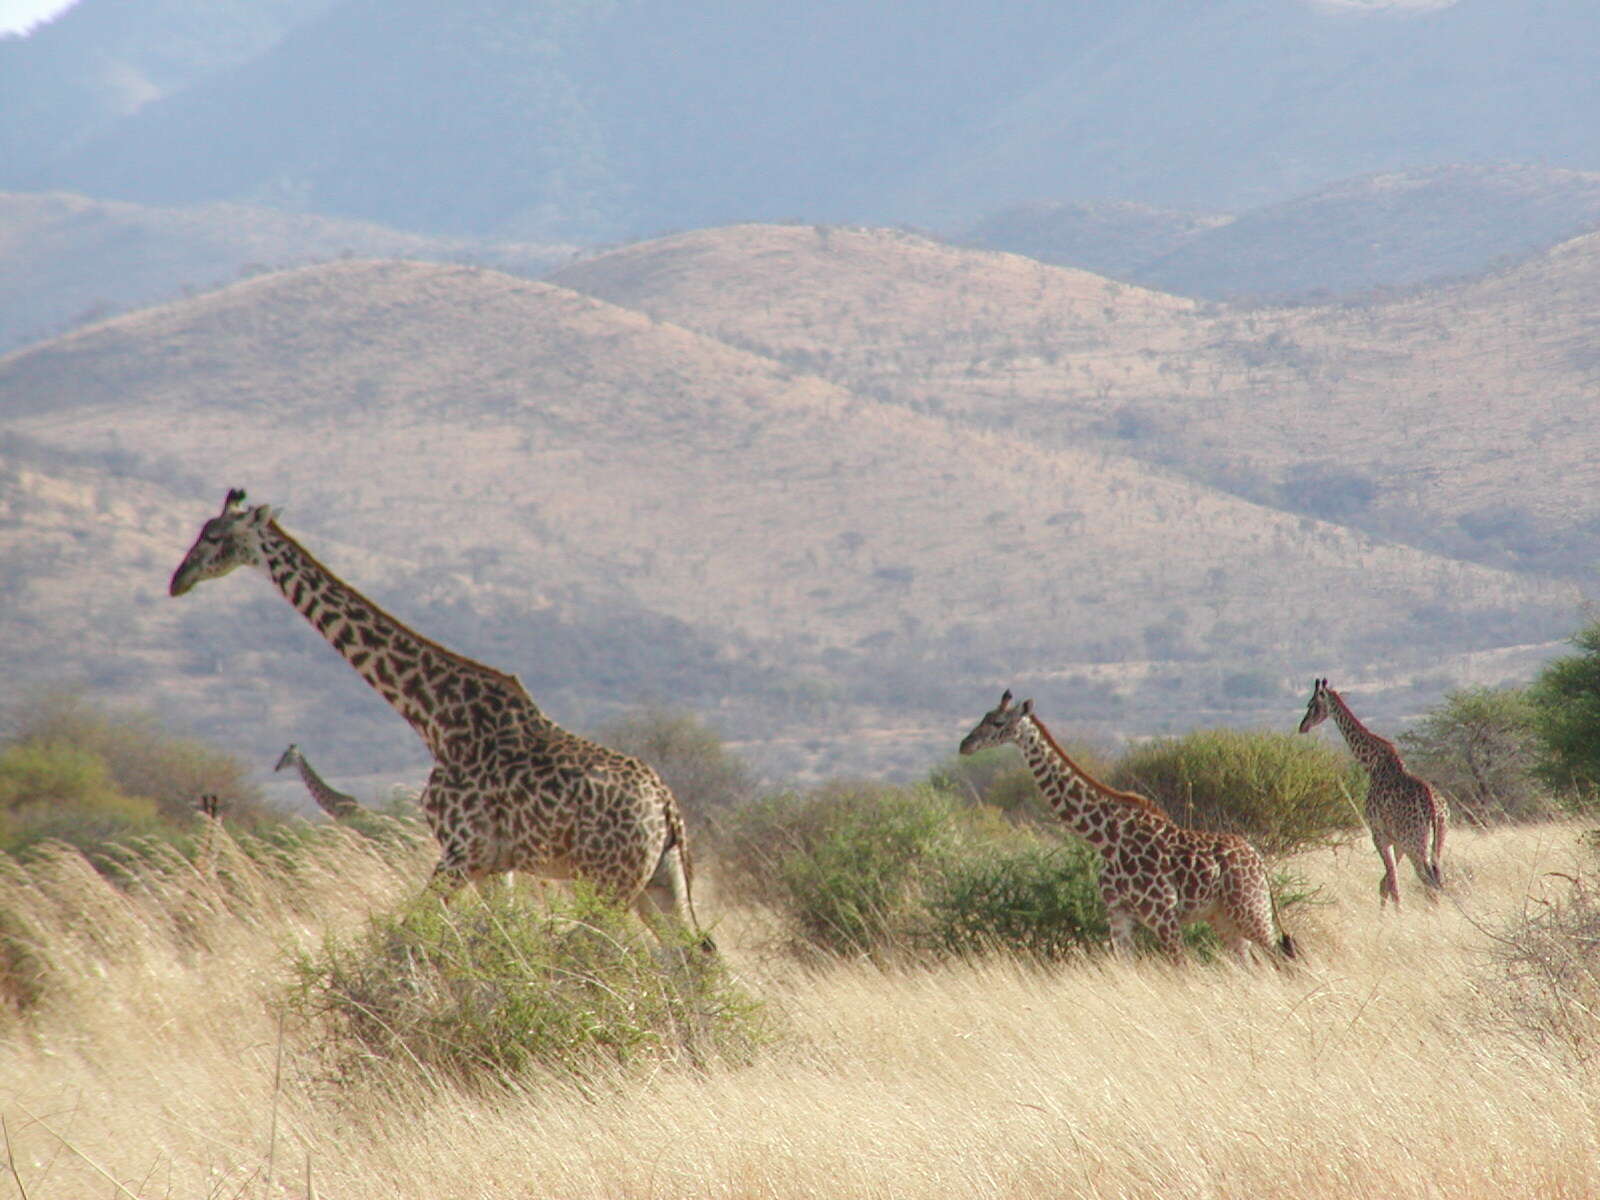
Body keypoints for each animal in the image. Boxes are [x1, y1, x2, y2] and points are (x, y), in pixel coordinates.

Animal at [167, 486, 707, 947]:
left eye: (213, 535)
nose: (177, 581)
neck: (433, 716)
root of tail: (667, 808)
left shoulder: (461, 850)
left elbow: (409, 931)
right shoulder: (495, 864)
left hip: (607, 881)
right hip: (659, 883)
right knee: (696, 957)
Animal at [953, 691, 1292, 966]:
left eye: (997, 721)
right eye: (984, 716)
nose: (965, 744)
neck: (1106, 837)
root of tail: (1259, 861)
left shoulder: (1162, 914)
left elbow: (1182, 968)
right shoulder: (1118, 914)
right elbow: (1126, 967)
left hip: (1250, 909)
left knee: (1281, 959)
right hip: (1224, 917)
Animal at [1292, 681, 1446, 908]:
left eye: (1311, 704)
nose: (1303, 726)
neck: (1373, 764)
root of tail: (1436, 811)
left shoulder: (1378, 834)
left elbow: (1392, 884)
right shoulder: (1396, 840)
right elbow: (1386, 883)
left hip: (1415, 844)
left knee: (1428, 881)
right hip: (1435, 842)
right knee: (1437, 880)